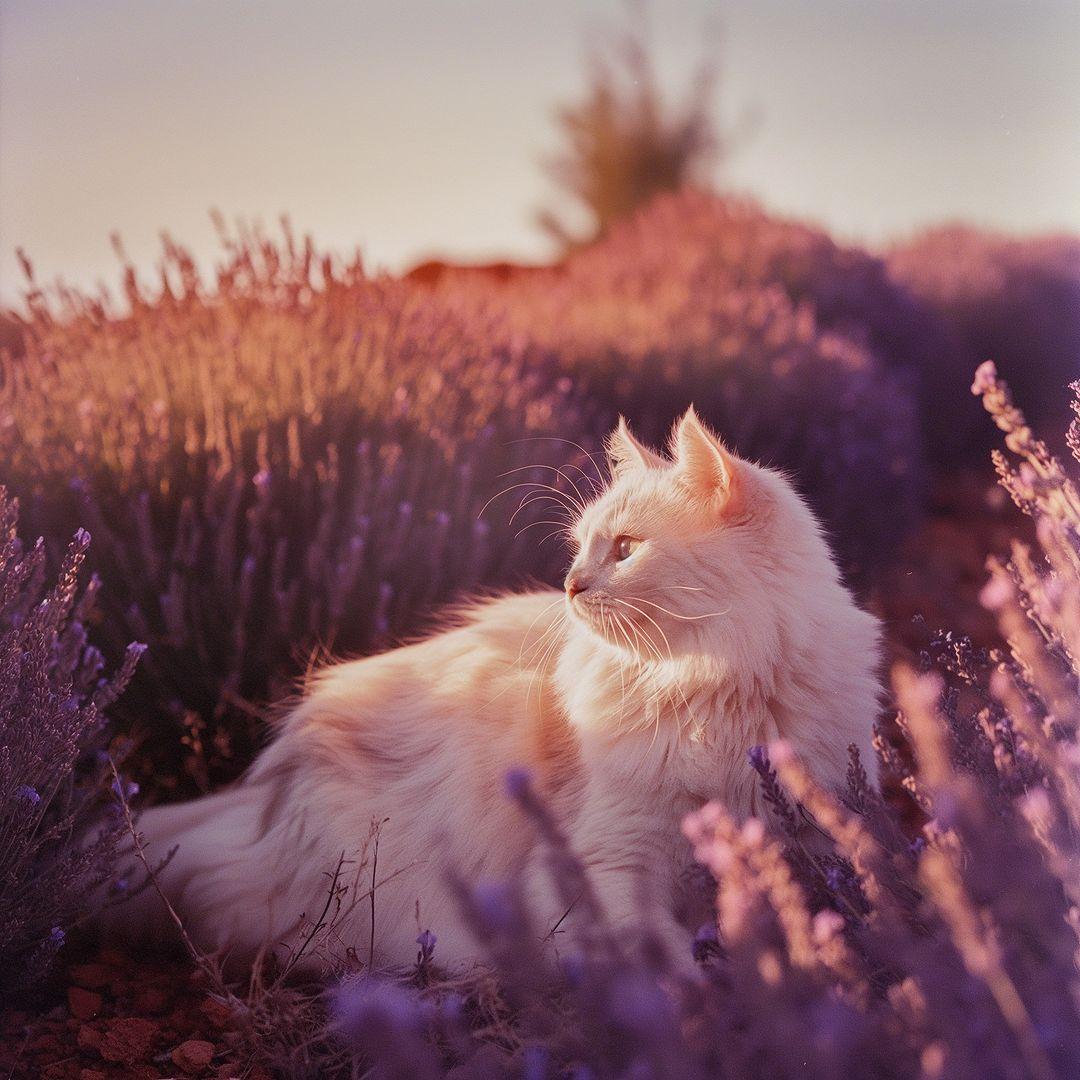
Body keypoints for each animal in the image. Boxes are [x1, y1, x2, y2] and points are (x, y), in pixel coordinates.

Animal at [109, 408, 881, 976]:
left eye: (626, 549)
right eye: (580, 547)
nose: (570, 585)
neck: (715, 686)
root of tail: (259, 797)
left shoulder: (814, 835)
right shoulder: (609, 857)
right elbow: (657, 955)